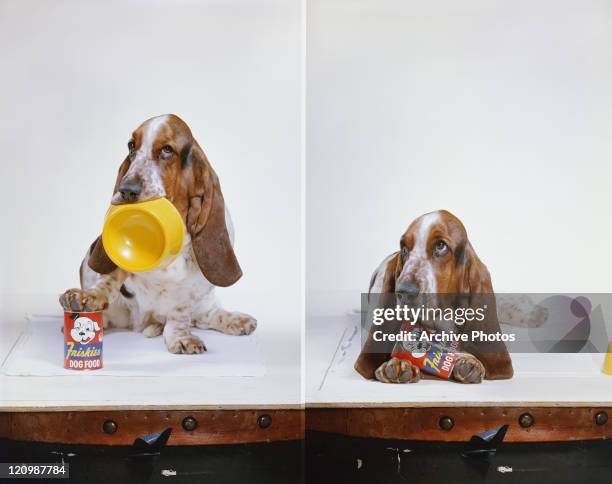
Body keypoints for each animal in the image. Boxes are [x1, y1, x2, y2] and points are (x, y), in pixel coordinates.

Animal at [59, 115, 256, 354]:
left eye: (167, 150)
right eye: (131, 146)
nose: (126, 190)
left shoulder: (192, 289)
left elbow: (180, 313)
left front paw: (181, 338)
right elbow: (110, 279)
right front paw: (88, 298)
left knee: (207, 315)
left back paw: (237, 320)